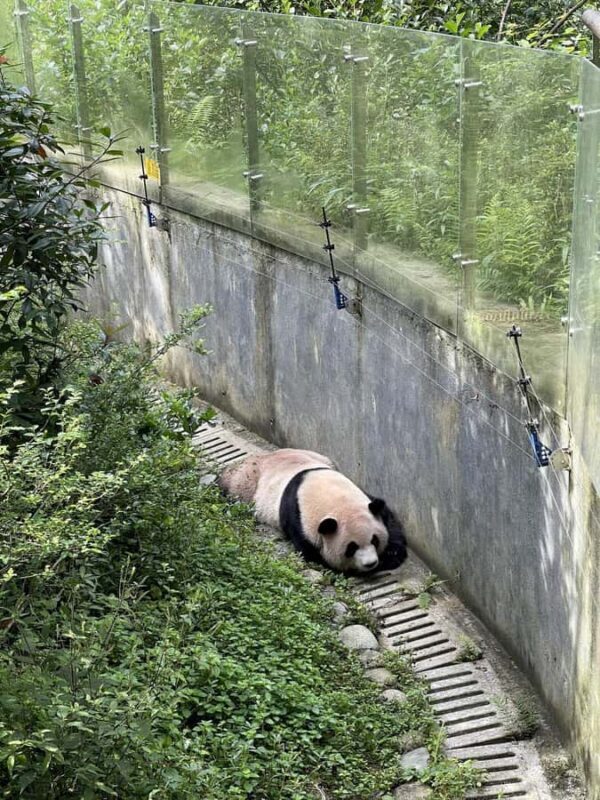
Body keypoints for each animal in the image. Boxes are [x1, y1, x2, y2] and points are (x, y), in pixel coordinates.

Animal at [219, 448, 407, 575]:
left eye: (374, 540)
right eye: (351, 548)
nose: (371, 563)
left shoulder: (363, 497)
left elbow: (388, 519)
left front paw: (391, 554)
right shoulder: (298, 518)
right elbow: (311, 553)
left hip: (318, 455)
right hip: (246, 483)